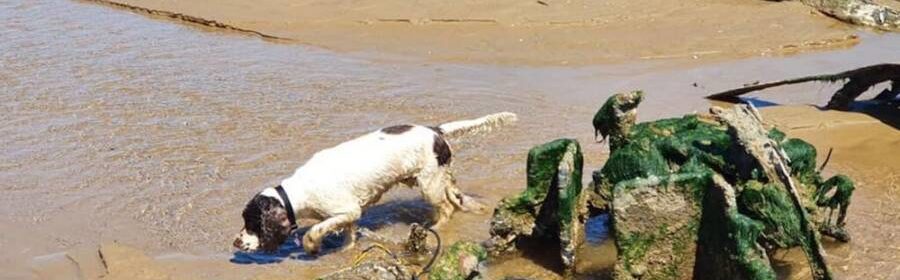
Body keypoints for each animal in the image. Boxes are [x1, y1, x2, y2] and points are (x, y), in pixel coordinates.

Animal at [232, 111, 516, 254]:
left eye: (252, 223)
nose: (235, 243)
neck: (299, 192)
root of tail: (435, 130)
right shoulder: (349, 216)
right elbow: (348, 236)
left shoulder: (348, 210)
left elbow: (317, 229)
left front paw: (312, 247)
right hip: (437, 177)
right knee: (455, 197)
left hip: (428, 184)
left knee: (446, 208)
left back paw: (436, 227)